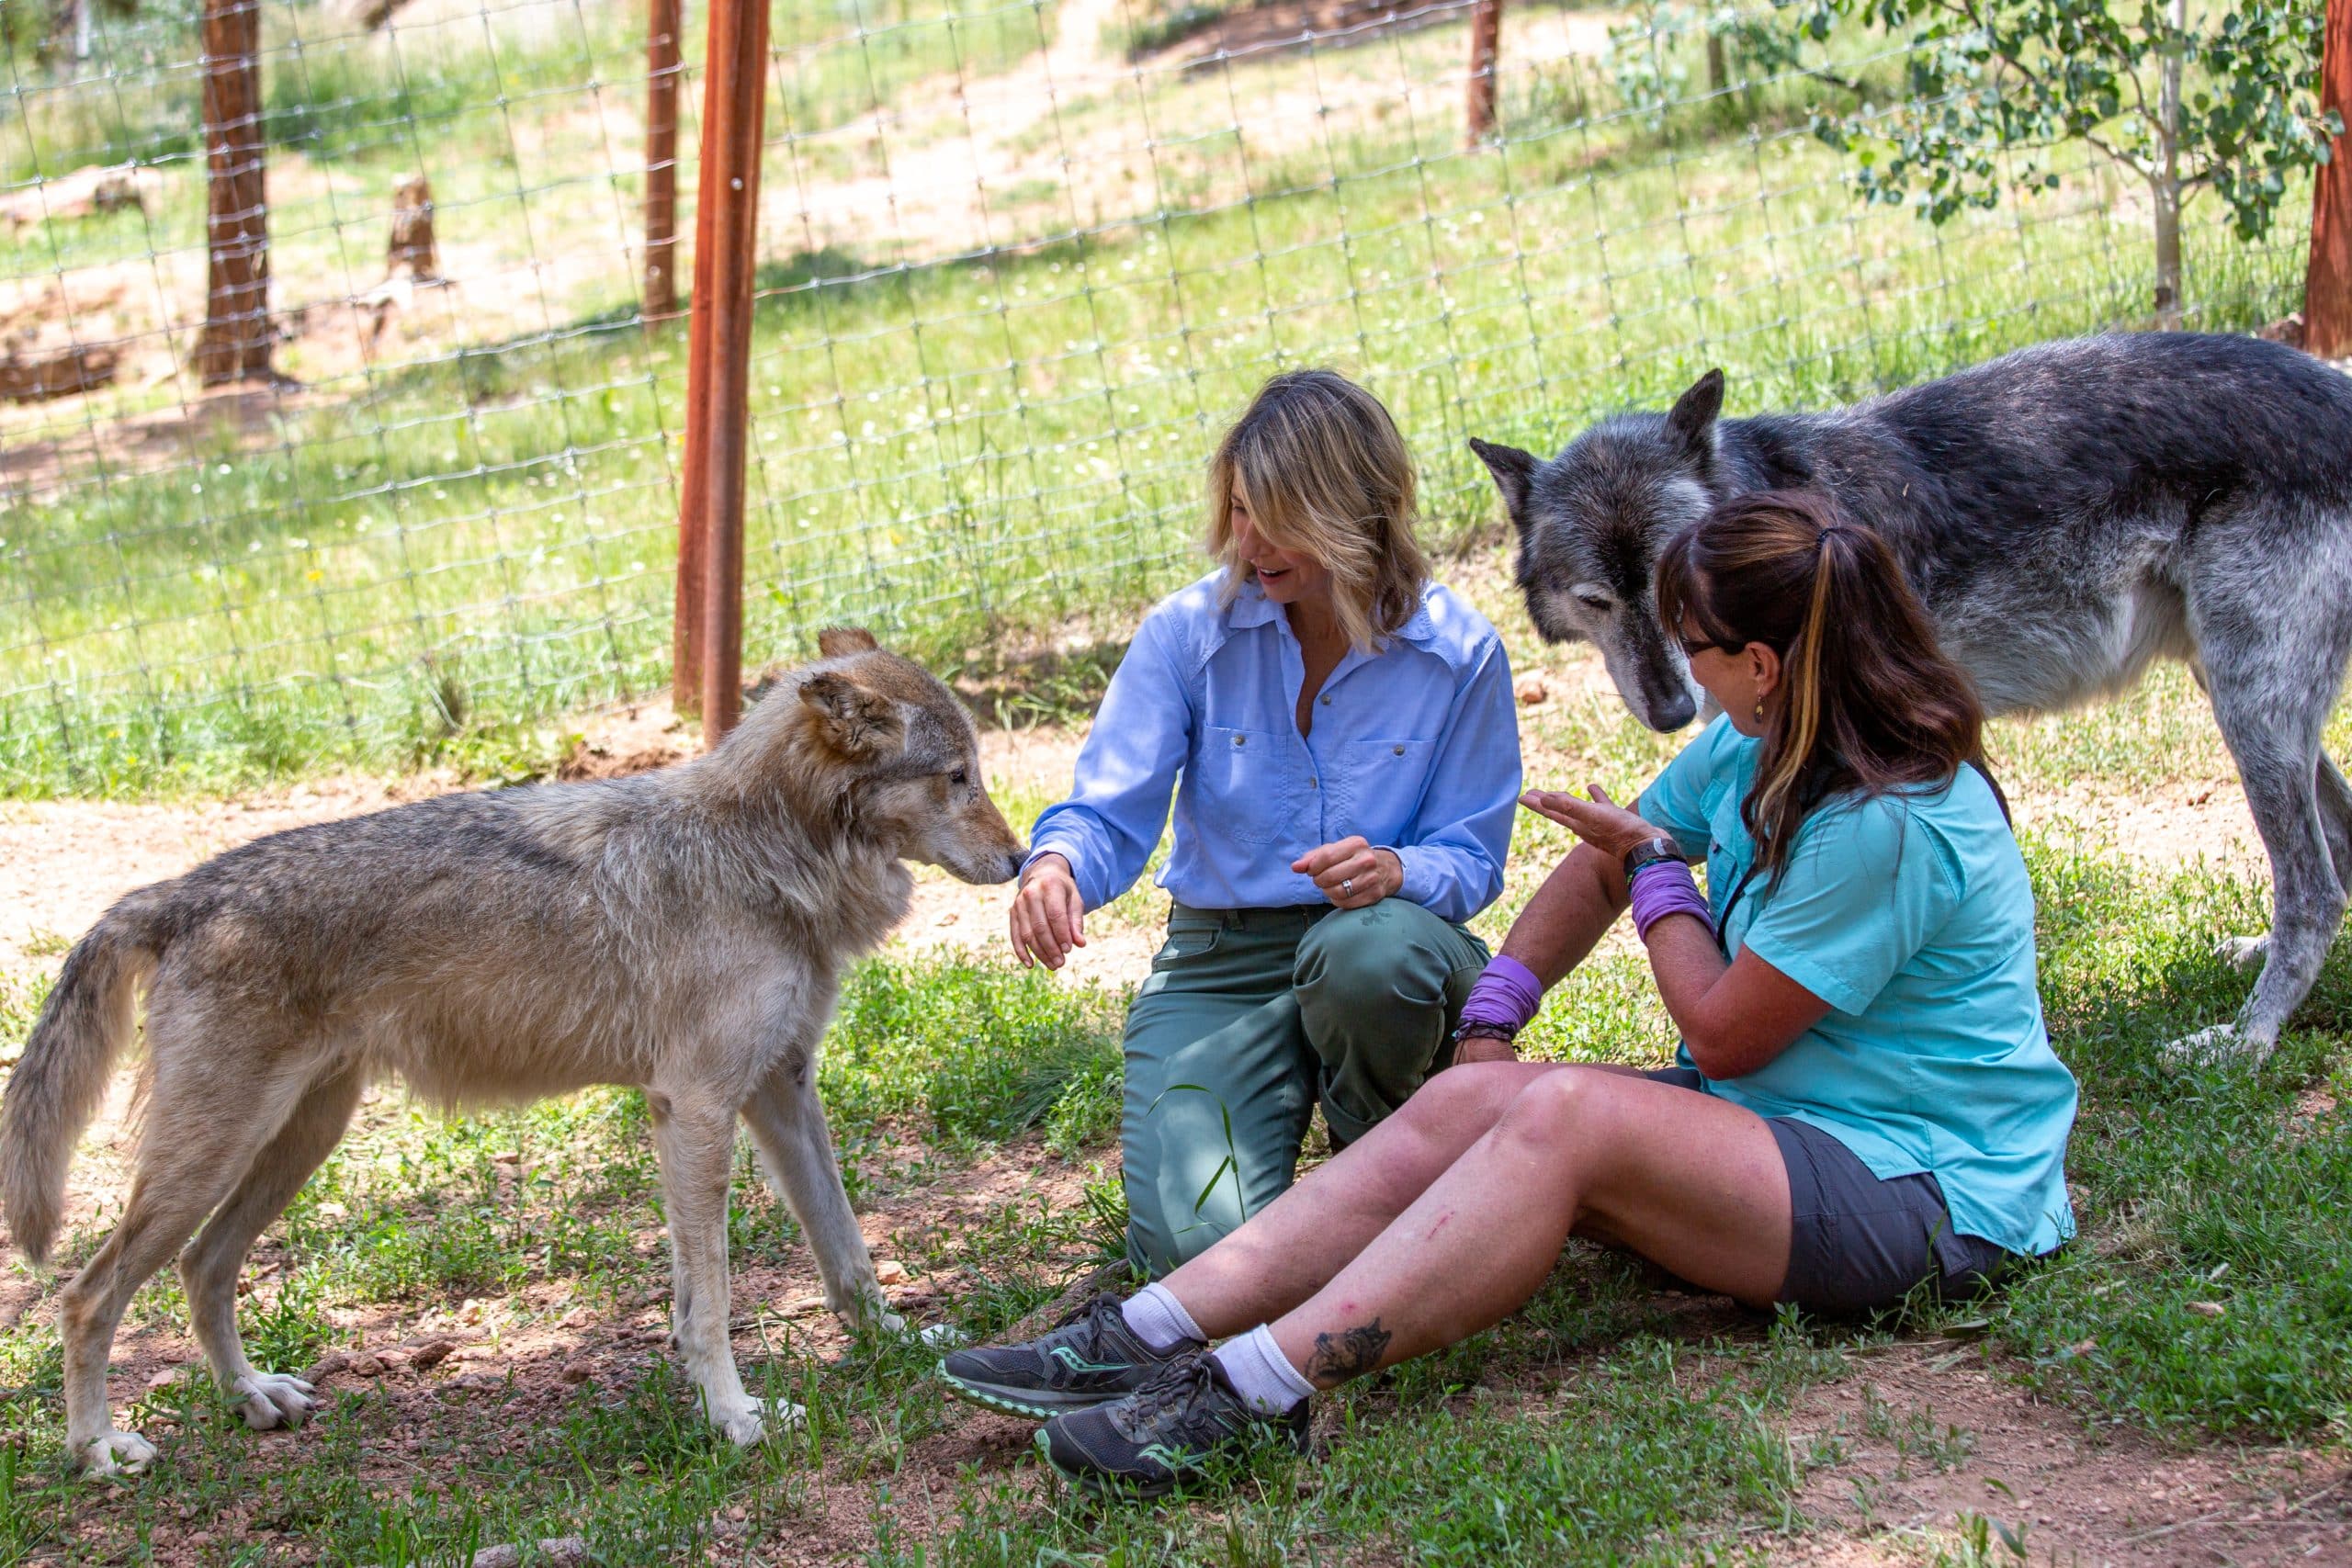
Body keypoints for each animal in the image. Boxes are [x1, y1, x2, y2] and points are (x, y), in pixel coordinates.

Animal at [0, 628, 1026, 1476]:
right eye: (957, 776)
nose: (1020, 861)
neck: (762, 849)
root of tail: (175, 893)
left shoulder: (781, 1090)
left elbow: (847, 1252)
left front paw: (896, 1343)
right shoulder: (695, 1108)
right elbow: (711, 1301)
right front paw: (732, 1417)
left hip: (296, 1141)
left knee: (201, 1269)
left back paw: (253, 1398)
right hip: (216, 1155)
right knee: (86, 1296)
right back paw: (97, 1452)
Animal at [1470, 331, 2352, 1060]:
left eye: (1667, 585)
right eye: (1597, 601)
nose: (1673, 714)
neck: (1759, 501)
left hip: (2250, 706)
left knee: (2313, 890)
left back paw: (2247, 1038)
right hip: (2248, 699)